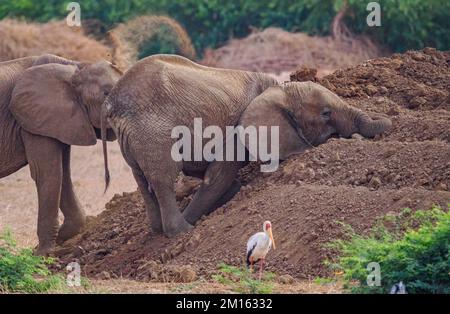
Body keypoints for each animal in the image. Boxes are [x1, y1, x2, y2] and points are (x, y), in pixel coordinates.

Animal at [0, 54, 121, 255]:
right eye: (106, 93)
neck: (75, 67)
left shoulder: (60, 120)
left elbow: (62, 173)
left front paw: (58, 242)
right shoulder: (32, 121)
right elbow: (49, 173)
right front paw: (42, 255)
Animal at [101, 55, 390, 238]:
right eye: (326, 114)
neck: (279, 89)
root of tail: (112, 103)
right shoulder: (236, 132)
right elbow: (217, 176)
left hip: (134, 140)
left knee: (142, 181)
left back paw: (157, 230)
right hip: (153, 134)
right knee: (162, 179)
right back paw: (181, 231)